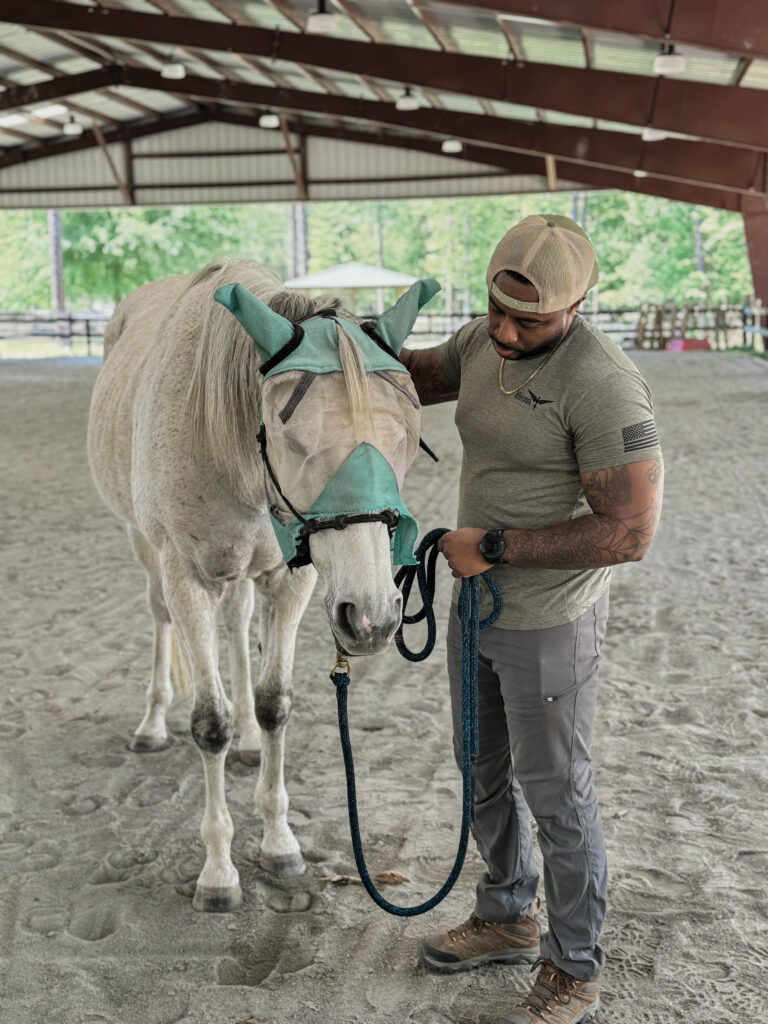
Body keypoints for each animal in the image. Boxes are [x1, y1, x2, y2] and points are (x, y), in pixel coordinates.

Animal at [86, 260, 438, 912]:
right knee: (160, 619)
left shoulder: (290, 579)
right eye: (291, 437)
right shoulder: (185, 576)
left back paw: (248, 738)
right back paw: (152, 724)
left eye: (406, 437)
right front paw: (218, 871)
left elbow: (276, 703)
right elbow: (209, 723)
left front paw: (279, 841)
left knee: (236, 626)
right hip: (143, 546)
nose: (373, 617)